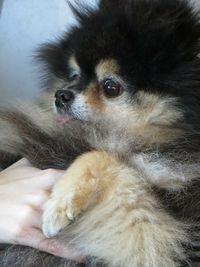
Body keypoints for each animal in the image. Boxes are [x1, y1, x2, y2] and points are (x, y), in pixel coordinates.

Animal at [0, 0, 200, 266]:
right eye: (74, 76)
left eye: (111, 87)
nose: (61, 95)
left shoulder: (159, 237)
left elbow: (103, 157)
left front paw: (60, 204)